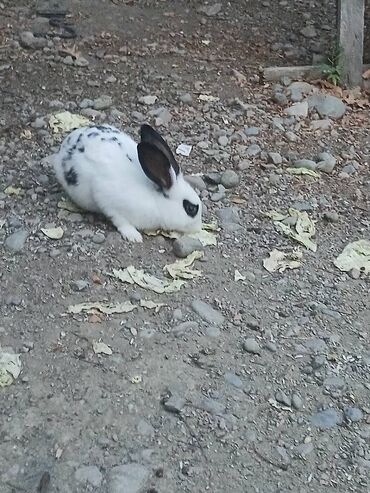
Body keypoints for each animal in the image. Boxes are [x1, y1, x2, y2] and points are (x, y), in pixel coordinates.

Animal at [52, 123, 202, 242]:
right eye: (191, 208)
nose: (198, 228)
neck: (155, 200)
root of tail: (67, 141)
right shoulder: (107, 200)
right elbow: (120, 220)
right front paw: (134, 236)